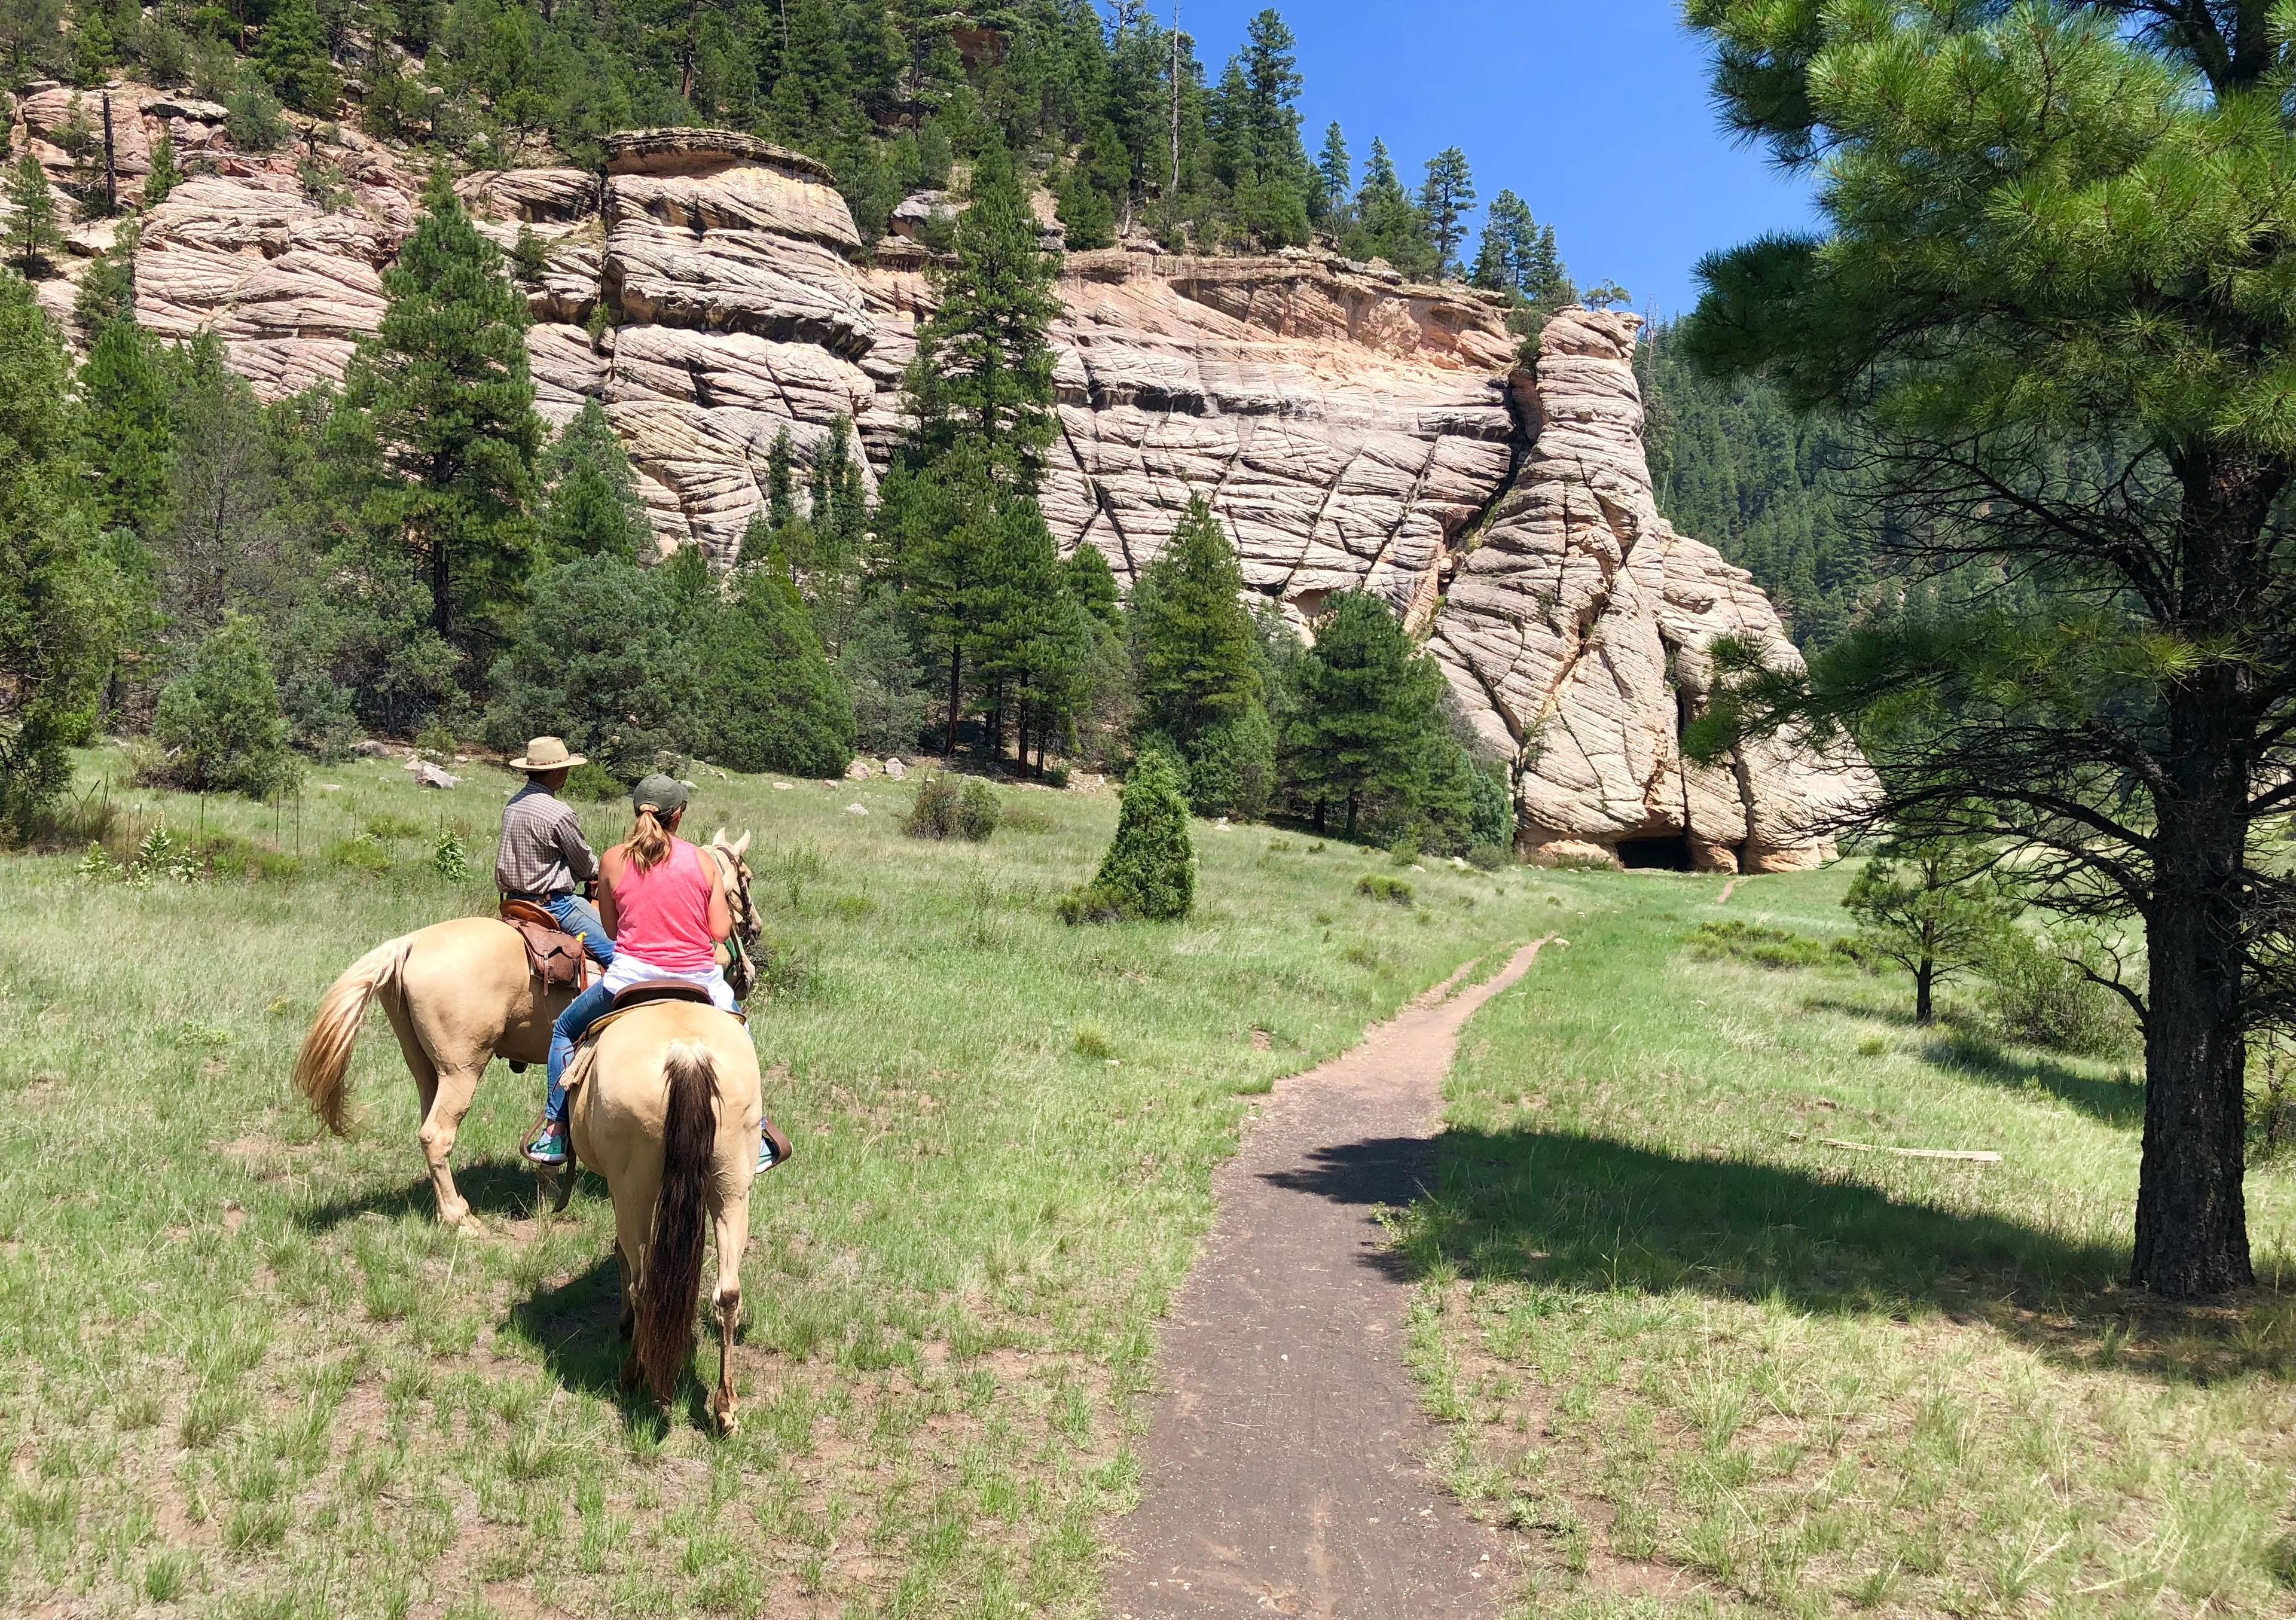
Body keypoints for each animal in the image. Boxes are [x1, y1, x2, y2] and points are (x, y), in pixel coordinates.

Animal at [291, 827, 762, 1222]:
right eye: (746, 878)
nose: (754, 928)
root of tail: (408, 944)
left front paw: (547, 1182)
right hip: (462, 1069)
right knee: (438, 1134)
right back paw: (460, 1219)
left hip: (426, 1067)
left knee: (427, 1127)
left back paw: (449, 1205)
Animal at [564, 997, 762, 1424]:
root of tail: (688, 1054)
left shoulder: (619, 1191)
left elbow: (622, 1255)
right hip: (732, 1188)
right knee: (728, 1293)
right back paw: (725, 1407)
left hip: (633, 1190)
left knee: (643, 1285)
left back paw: (634, 1375)